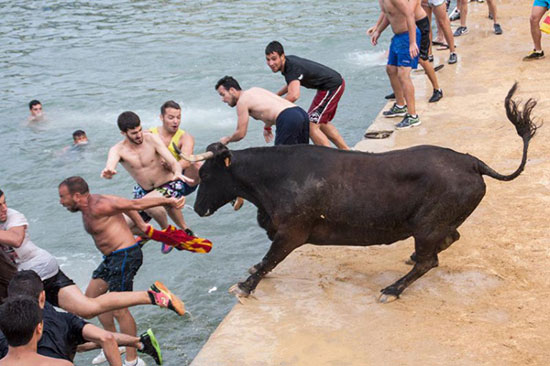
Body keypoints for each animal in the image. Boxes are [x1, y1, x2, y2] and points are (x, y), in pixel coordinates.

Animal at [190, 83, 540, 304]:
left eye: (205, 174)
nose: (197, 209)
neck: (273, 178)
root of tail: (471, 161)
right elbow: (266, 261)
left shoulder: (291, 232)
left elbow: (268, 261)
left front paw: (244, 286)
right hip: (437, 224)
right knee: (446, 241)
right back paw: (412, 258)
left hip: (427, 225)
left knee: (431, 260)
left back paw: (393, 289)